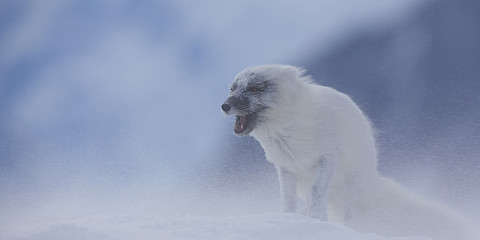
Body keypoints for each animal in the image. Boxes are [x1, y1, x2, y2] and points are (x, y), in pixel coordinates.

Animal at [222, 64, 476, 239]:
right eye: (232, 88)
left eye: (255, 88)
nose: (224, 105)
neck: (290, 131)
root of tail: (372, 178)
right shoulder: (286, 167)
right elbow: (288, 198)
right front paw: (288, 218)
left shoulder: (328, 158)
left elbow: (317, 189)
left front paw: (315, 218)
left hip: (351, 191)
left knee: (345, 213)